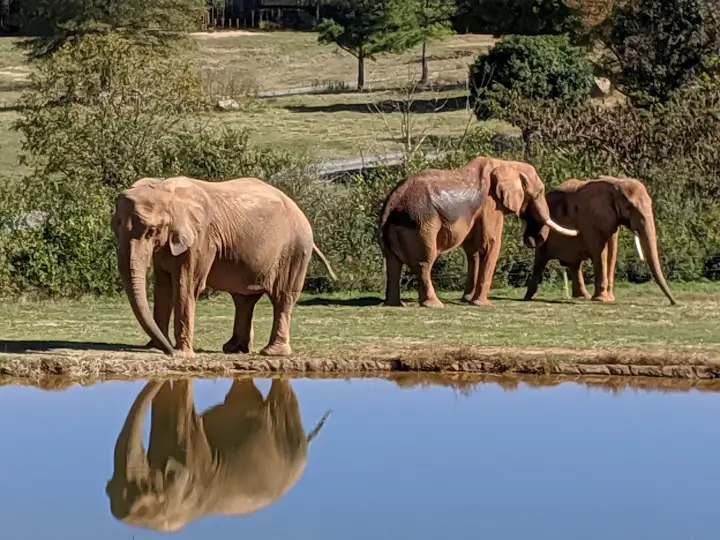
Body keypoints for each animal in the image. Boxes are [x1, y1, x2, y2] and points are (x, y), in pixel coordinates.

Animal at [382, 156, 580, 308]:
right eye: (538, 193)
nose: (530, 239)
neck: (506, 164)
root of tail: (392, 203)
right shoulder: (490, 204)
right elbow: (490, 244)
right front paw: (482, 304)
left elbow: (474, 250)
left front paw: (467, 300)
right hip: (423, 226)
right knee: (424, 262)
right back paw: (435, 305)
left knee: (393, 262)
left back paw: (395, 304)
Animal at [524, 176, 676, 306]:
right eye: (629, 207)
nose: (673, 302)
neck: (616, 184)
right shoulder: (590, 218)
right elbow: (600, 251)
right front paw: (601, 300)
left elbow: (612, 250)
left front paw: (609, 299)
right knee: (540, 261)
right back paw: (529, 298)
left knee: (575, 265)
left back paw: (582, 297)